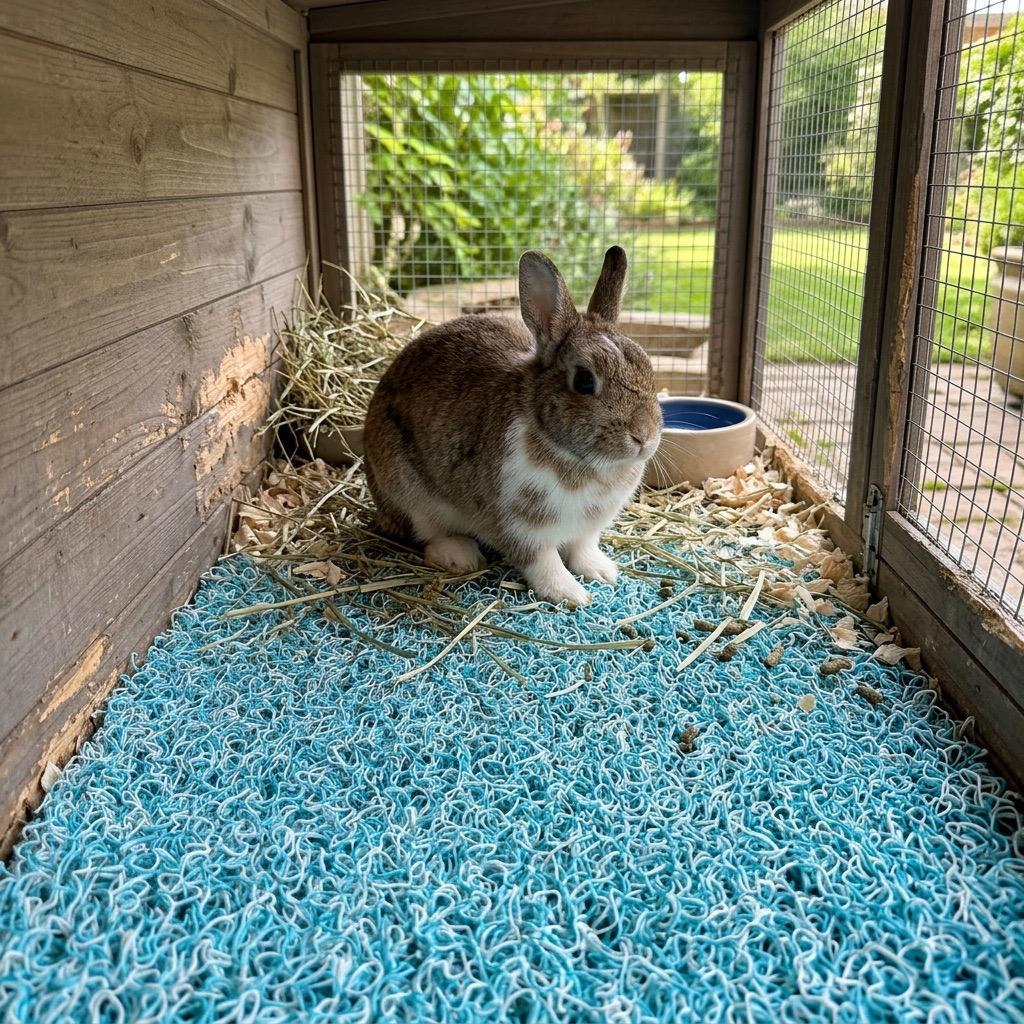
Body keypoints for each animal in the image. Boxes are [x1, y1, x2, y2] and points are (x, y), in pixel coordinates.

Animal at [363, 246, 662, 606]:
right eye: (584, 381)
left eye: (647, 365)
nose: (644, 437)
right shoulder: (520, 527)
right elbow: (542, 561)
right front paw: (570, 594)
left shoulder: (588, 529)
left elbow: (582, 549)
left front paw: (603, 572)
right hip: (408, 493)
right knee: (427, 535)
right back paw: (460, 556)